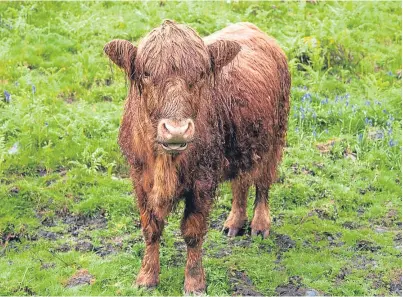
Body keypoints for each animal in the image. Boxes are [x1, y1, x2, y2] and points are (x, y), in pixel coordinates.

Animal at [104, 20, 290, 292]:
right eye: (147, 73)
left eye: (201, 74)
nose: (176, 130)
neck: (165, 163)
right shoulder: (139, 178)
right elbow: (150, 228)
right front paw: (146, 278)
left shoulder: (202, 181)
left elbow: (192, 232)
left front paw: (194, 283)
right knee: (241, 182)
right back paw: (234, 223)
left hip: (275, 138)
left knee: (263, 183)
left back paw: (260, 226)